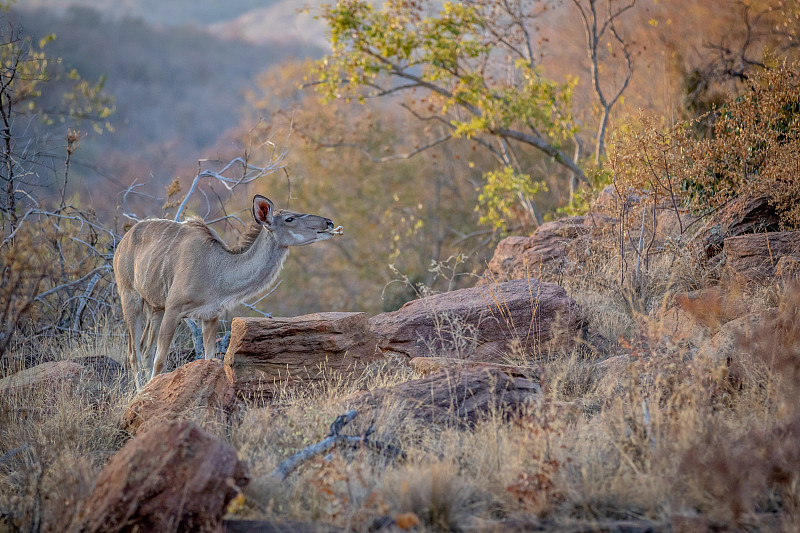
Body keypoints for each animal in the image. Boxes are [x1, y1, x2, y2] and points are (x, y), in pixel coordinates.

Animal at [111, 193, 340, 384]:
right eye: (289, 219)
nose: (329, 222)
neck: (217, 270)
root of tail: (123, 241)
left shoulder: (210, 316)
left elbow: (210, 360)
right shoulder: (174, 310)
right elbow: (161, 361)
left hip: (155, 307)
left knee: (144, 349)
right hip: (130, 296)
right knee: (134, 353)